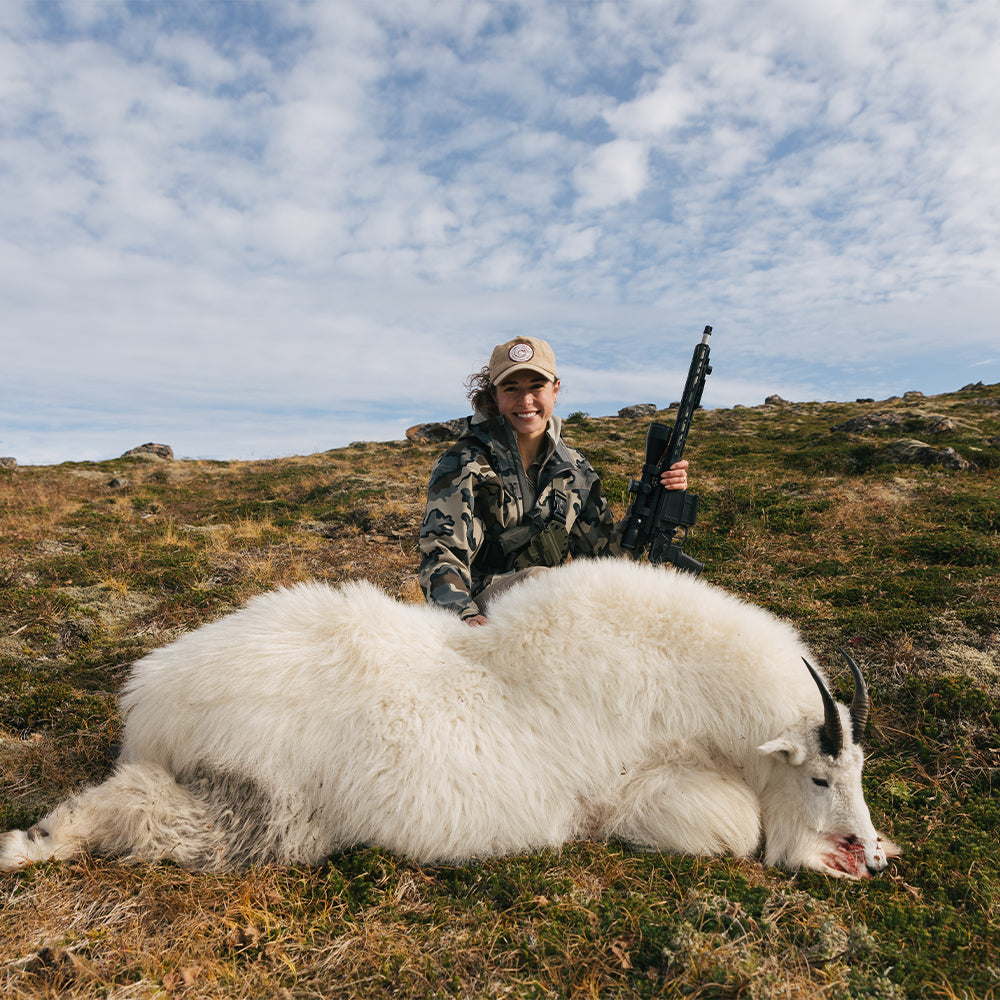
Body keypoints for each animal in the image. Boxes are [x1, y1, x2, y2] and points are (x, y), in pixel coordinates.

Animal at [1, 558, 897, 876]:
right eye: (820, 776)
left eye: (857, 770)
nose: (867, 857)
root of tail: (150, 694)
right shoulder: (635, 790)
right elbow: (733, 827)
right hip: (267, 809)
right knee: (140, 811)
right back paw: (25, 847)